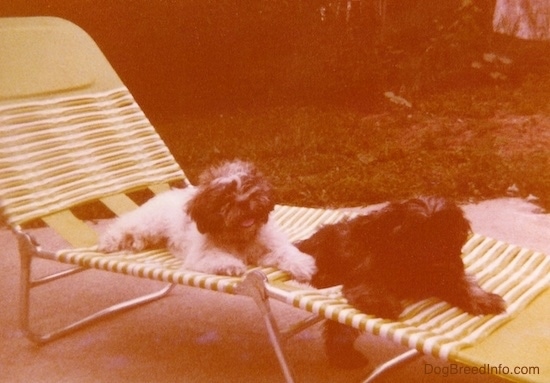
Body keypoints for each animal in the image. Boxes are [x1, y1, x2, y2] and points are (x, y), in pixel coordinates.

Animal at [97, 159, 316, 282]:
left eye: (248, 187)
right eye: (225, 199)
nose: (244, 202)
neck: (239, 237)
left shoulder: (269, 248)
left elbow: (287, 253)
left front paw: (302, 266)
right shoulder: (201, 256)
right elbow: (218, 258)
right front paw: (232, 266)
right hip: (147, 224)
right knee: (123, 225)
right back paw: (108, 242)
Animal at [298, 198, 508, 368]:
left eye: (444, 231)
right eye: (415, 233)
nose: (437, 258)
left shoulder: (447, 272)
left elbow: (462, 283)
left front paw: (482, 299)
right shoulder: (364, 274)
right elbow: (366, 293)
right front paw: (381, 303)